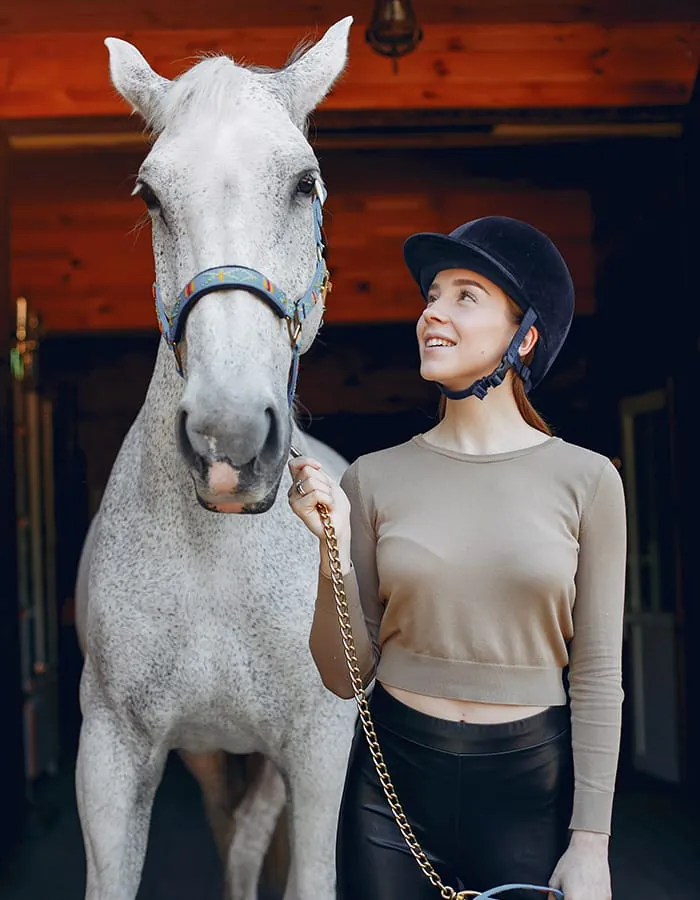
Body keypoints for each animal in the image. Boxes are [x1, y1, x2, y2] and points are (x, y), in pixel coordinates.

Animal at [74, 18, 357, 900]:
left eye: (305, 183)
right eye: (150, 196)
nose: (228, 443)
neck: (218, 563)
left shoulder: (318, 748)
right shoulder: (114, 752)